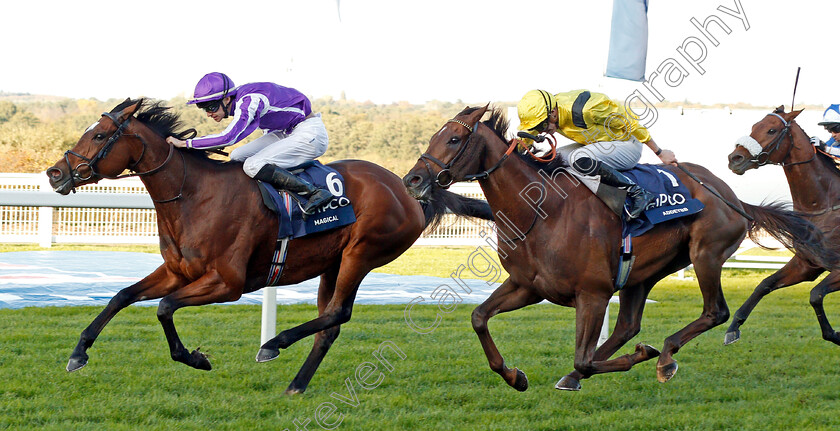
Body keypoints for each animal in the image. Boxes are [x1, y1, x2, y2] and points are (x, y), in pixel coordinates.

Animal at [44, 98, 492, 394]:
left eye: (99, 134)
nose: (54, 173)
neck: (193, 194)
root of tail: (407, 189)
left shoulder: (227, 283)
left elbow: (165, 308)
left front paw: (196, 358)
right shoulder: (177, 271)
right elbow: (121, 296)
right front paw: (78, 353)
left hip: (360, 255)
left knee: (337, 314)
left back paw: (273, 345)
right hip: (332, 263)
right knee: (330, 322)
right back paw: (296, 383)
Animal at [724, 106, 840, 346]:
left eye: (771, 130)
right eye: (754, 125)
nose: (735, 158)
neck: (824, 205)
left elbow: (816, 295)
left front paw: (836, 334)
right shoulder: (807, 264)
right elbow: (765, 284)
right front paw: (733, 327)